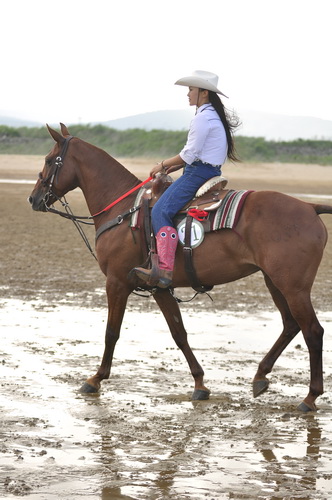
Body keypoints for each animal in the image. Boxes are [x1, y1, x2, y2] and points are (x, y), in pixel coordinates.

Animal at [29, 124, 332, 410]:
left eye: (49, 159)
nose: (33, 198)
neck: (123, 210)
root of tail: (309, 207)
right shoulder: (160, 287)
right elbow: (179, 333)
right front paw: (200, 384)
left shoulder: (116, 282)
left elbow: (111, 332)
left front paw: (95, 379)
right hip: (274, 281)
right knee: (290, 325)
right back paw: (260, 376)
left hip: (293, 287)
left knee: (313, 331)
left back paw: (310, 397)